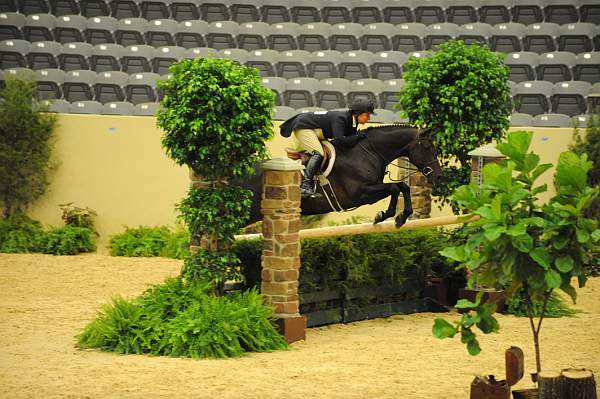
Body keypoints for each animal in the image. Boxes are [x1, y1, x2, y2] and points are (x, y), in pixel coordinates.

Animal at [238, 123, 440, 228]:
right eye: (427, 147)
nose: (438, 176)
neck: (369, 151)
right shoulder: (360, 194)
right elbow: (395, 187)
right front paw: (392, 216)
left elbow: (400, 186)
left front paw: (395, 216)